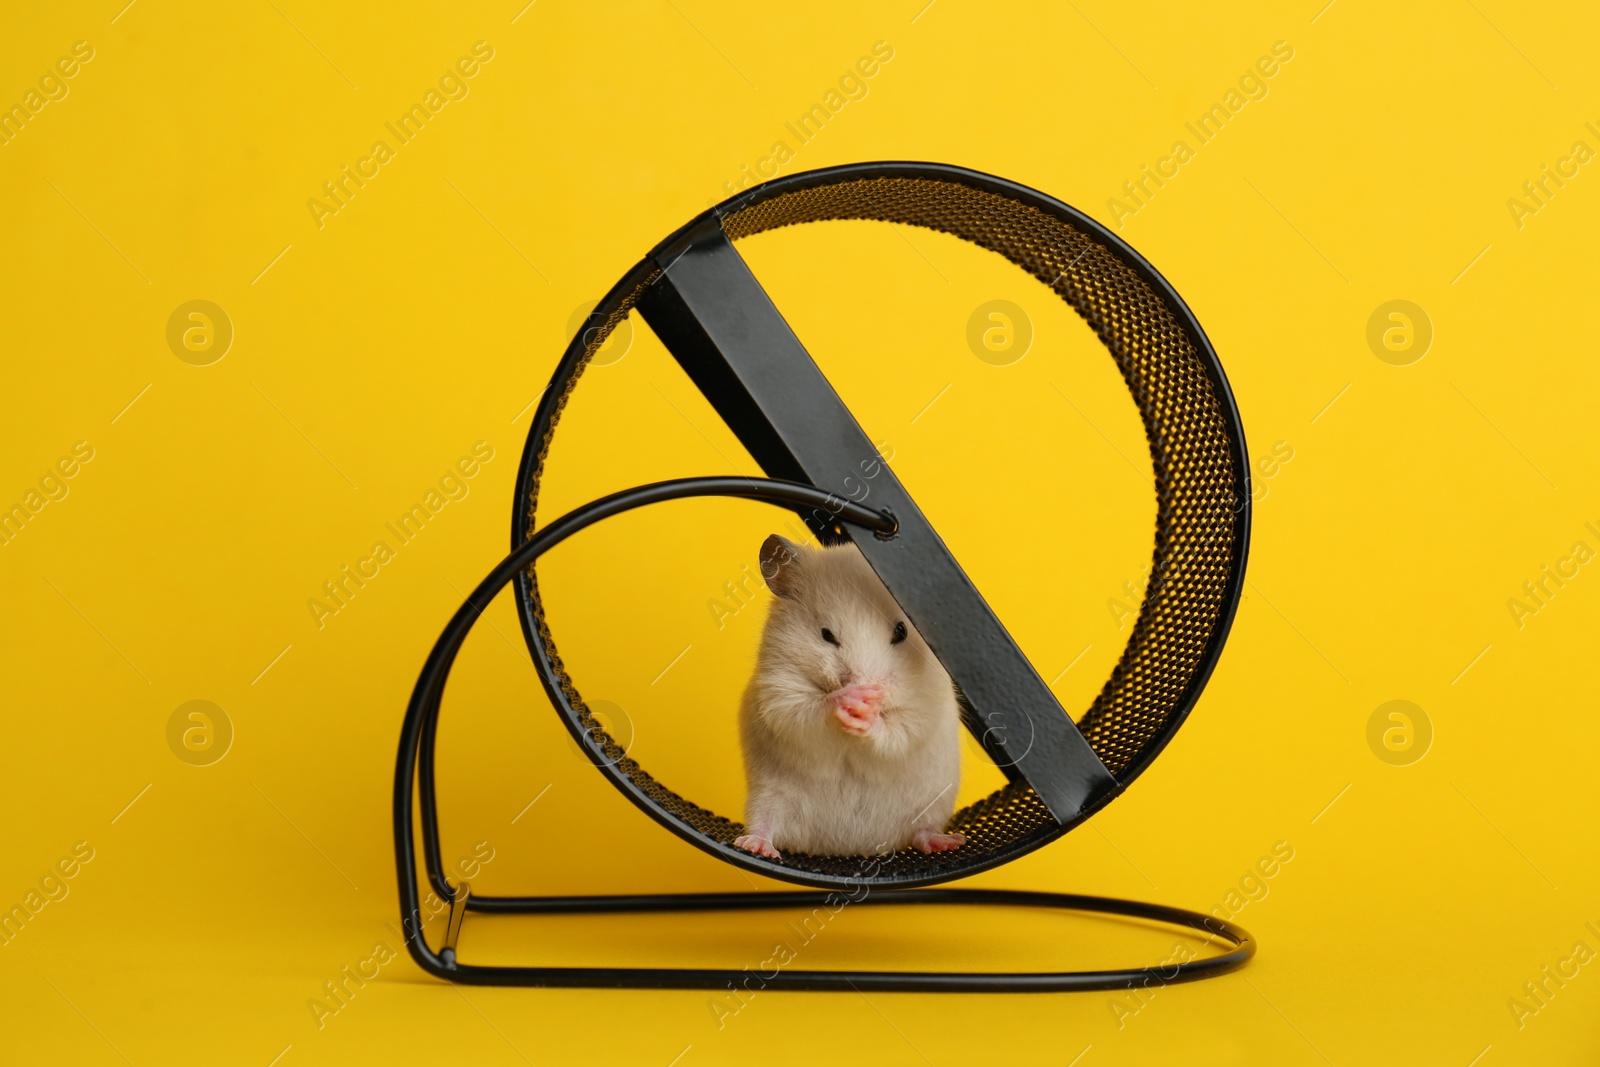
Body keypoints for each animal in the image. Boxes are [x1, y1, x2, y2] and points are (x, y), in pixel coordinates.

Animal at [732, 531, 960, 863]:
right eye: (827, 635)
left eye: (901, 632)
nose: (866, 686)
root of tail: (847, 847)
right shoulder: (780, 688)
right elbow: (804, 711)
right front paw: (850, 698)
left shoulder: (926, 704)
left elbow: (900, 730)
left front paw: (870, 712)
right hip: (768, 796)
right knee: (766, 823)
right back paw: (755, 845)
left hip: (931, 804)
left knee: (922, 831)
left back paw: (951, 841)